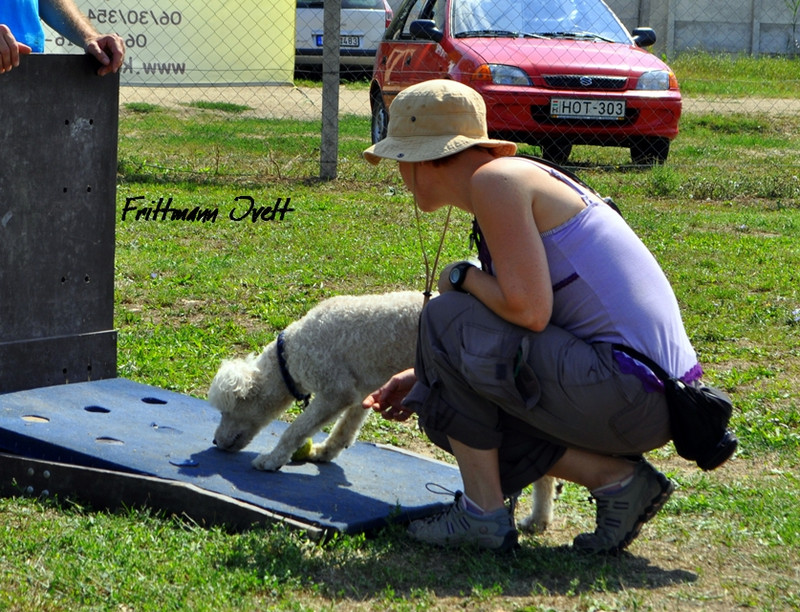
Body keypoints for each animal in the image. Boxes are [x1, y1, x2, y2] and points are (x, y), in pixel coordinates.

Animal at [206, 290, 556, 532]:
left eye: (227, 411)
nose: (214, 441)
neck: (288, 356)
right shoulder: (360, 391)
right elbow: (346, 427)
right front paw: (325, 452)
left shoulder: (334, 389)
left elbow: (296, 428)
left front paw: (271, 459)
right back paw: (539, 517)